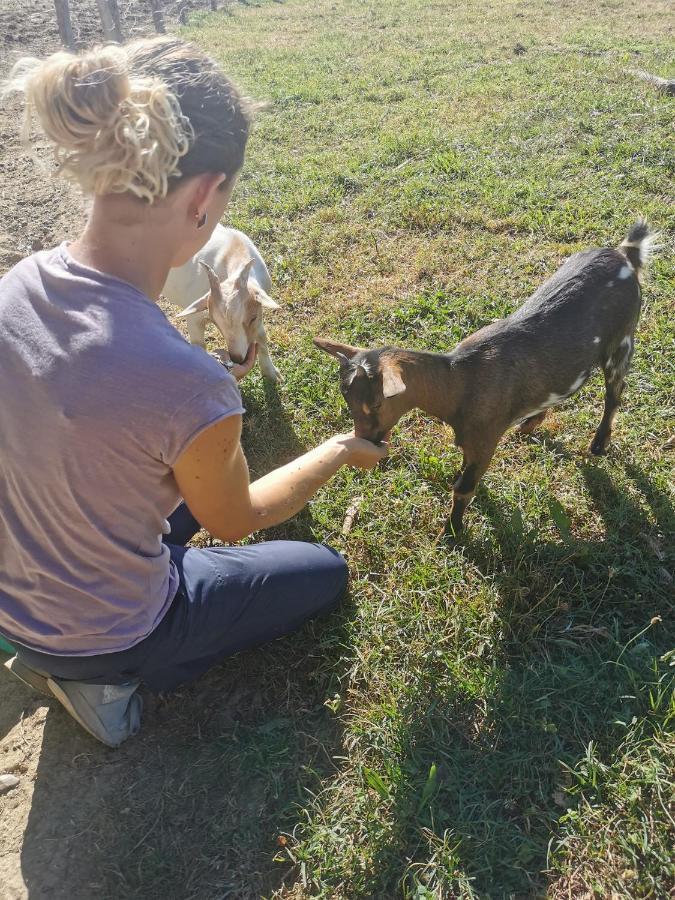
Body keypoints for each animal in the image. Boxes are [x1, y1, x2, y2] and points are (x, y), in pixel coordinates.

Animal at [162, 227, 282, 382]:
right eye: (215, 322)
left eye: (253, 318)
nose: (238, 359)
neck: (232, 249)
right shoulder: (195, 317)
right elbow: (199, 344)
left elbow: (261, 336)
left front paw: (271, 373)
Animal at [320, 223, 656, 536]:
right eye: (347, 398)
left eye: (377, 402)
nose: (366, 439)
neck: (460, 382)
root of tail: (624, 254)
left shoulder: (485, 439)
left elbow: (464, 487)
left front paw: (452, 533)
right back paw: (529, 425)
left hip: (622, 338)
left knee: (615, 390)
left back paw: (598, 444)